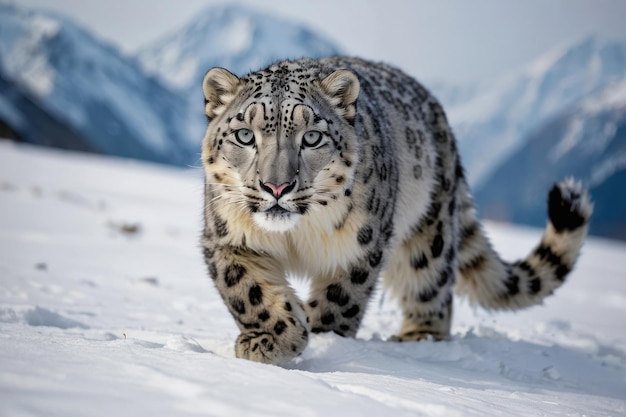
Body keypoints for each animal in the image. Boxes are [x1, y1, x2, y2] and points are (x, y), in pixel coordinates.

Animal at [200, 57, 588, 362]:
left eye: (311, 137)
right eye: (245, 135)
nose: (276, 187)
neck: (296, 236)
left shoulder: (360, 245)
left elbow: (341, 299)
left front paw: (324, 341)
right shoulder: (227, 237)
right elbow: (248, 293)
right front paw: (272, 340)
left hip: (430, 233)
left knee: (431, 283)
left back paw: (419, 337)